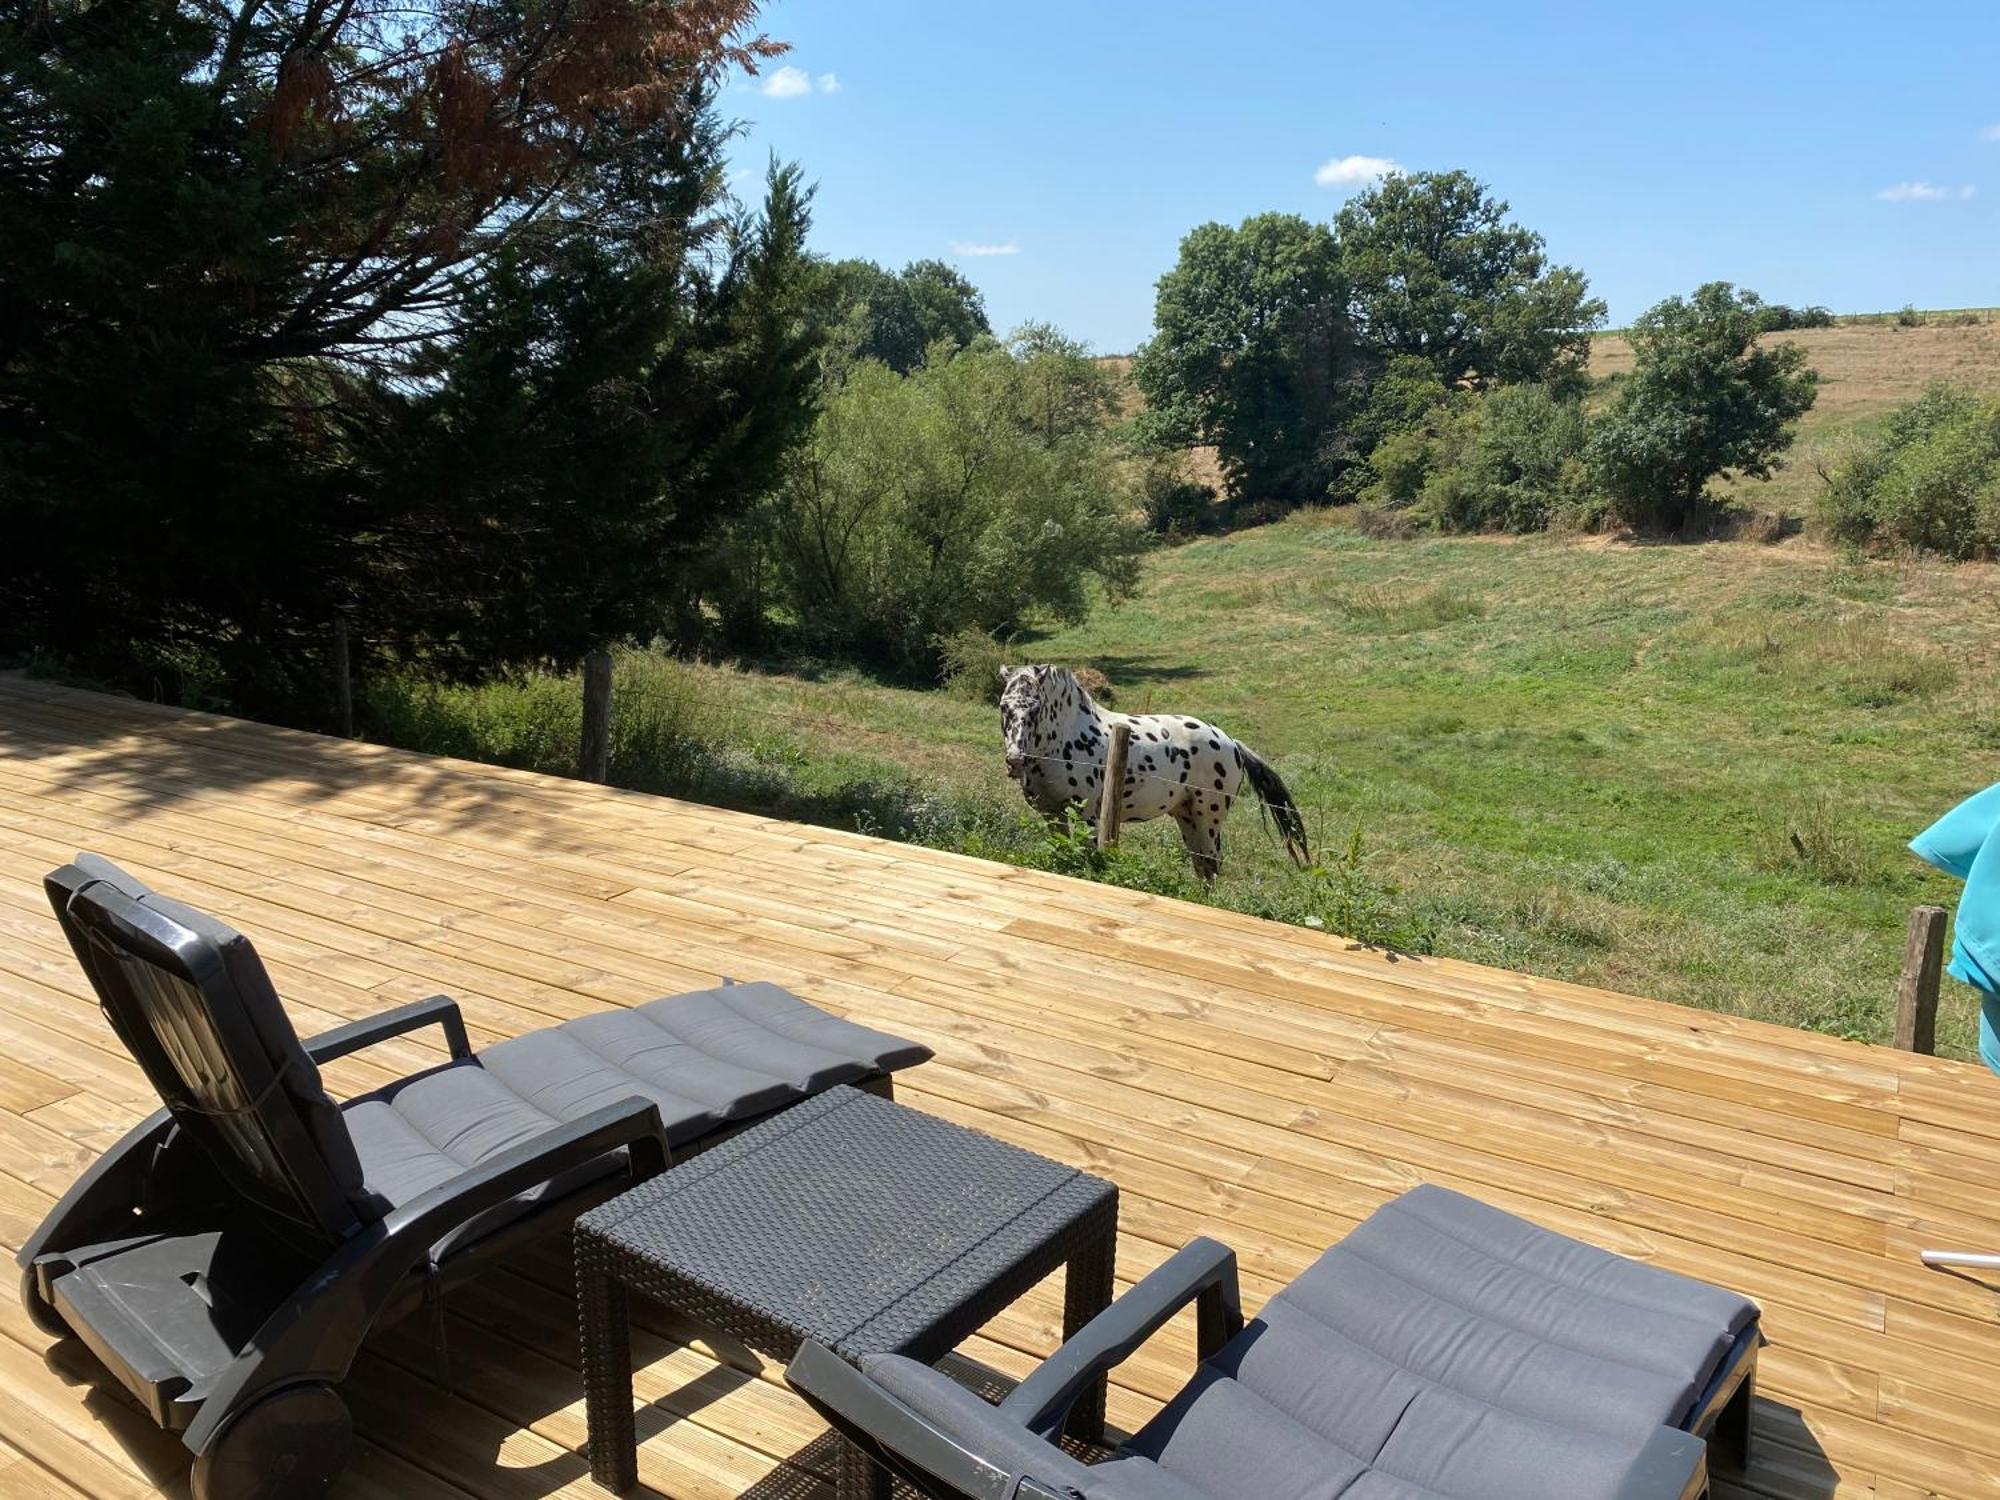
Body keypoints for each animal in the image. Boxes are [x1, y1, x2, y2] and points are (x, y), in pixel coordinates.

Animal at [1000, 668, 1312, 880]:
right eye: (1004, 706)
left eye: (1036, 708)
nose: (1015, 761)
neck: (1064, 739)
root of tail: (1231, 742)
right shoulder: (1051, 813)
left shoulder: (1087, 816)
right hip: (1186, 816)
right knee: (1202, 865)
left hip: (1207, 819)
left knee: (1211, 864)